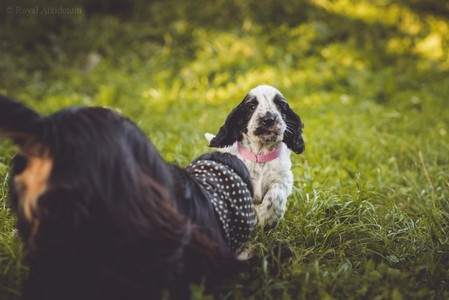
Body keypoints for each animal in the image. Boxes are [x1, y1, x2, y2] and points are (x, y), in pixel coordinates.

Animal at [206, 85, 304, 229]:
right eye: (251, 106)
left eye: (280, 105)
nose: (269, 119)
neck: (260, 156)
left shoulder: (284, 179)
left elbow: (276, 193)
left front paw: (268, 218)